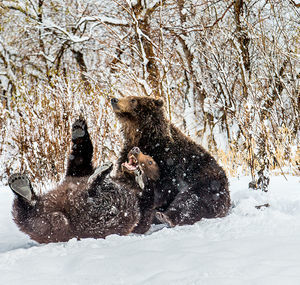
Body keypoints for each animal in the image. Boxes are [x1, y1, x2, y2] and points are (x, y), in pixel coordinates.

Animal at [111, 95, 231, 226]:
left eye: (133, 100)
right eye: (127, 97)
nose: (114, 100)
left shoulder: (169, 159)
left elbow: (165, 186)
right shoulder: (128, 151)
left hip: (208, 184)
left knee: (191, 199)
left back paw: (166, 217)